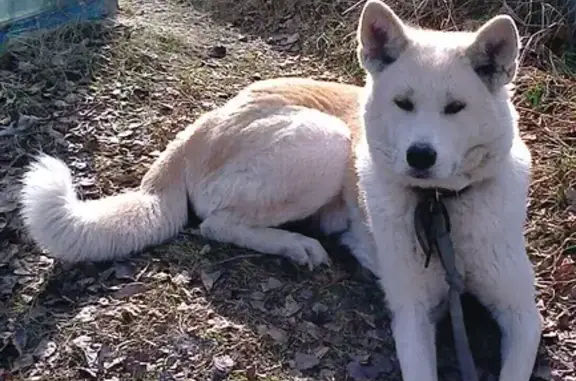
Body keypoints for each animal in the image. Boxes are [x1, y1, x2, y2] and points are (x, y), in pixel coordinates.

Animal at [18, 1, 540, 378]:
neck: (441, 208)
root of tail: (198, 128)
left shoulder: (522, 313)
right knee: (217, 224)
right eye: (404, 104)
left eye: (455, 108)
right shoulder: (413, 313)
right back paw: (295, 245)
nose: (419, 157)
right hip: (326, 140)